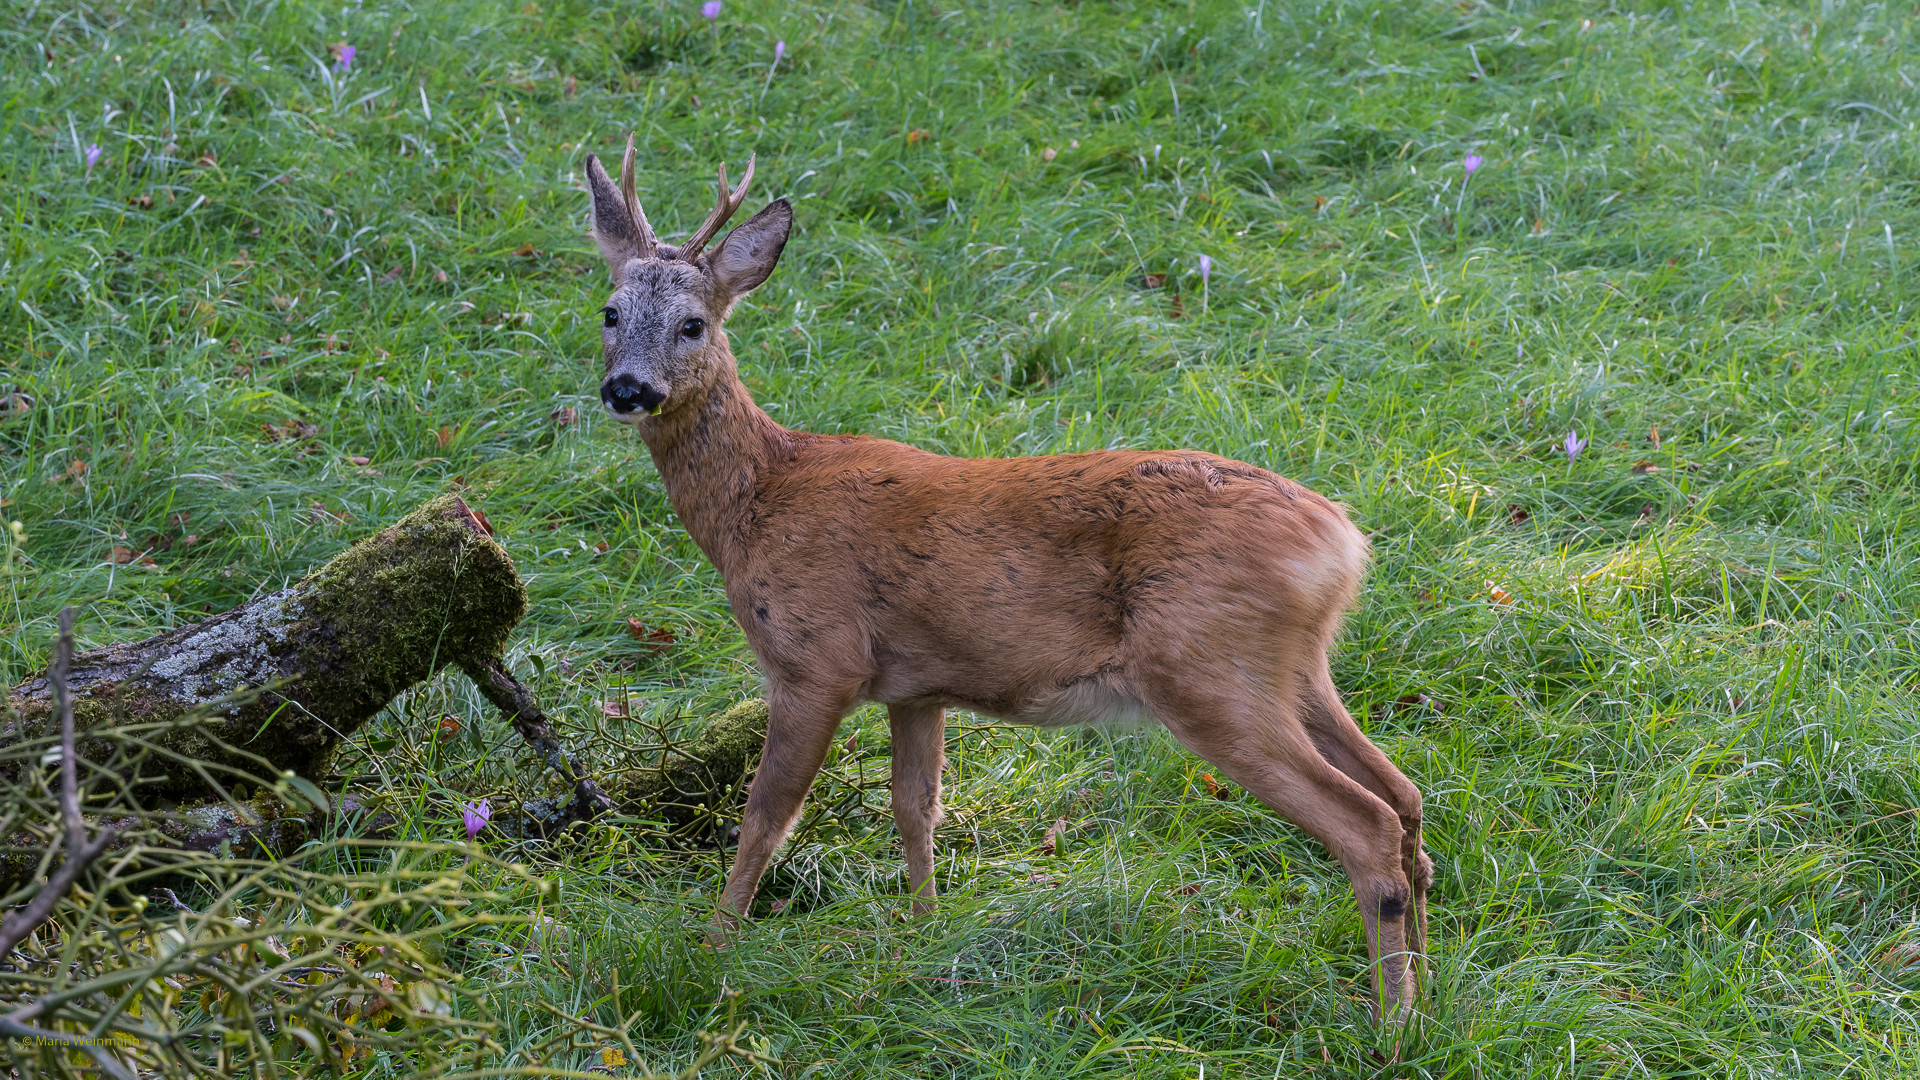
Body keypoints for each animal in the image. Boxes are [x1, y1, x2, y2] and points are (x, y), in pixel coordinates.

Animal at [576, 141, 1436, 1006]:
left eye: (693, 324)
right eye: (609, 312)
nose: (629, 390)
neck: (758, 502)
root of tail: (1342, 543)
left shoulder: (816, 659)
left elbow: (766, 815)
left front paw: (716, 945)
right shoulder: (916, 687)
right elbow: (916, 808)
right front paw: (922, 933)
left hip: (1208, 671)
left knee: (1367, 825)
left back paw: (1391, 1020)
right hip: (1294, 669)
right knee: (1406, 801)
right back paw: (1428, 992)